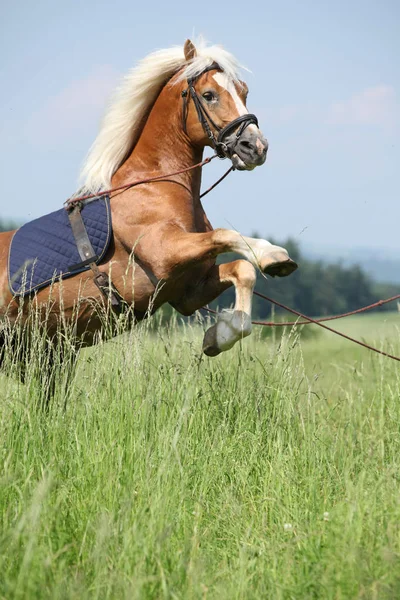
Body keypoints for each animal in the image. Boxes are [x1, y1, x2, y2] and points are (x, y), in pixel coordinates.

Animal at [0, 38, 298, 394]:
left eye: (244, 91)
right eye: (209, 94)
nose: (256, 147)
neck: (155, 184)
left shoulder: (187, 290)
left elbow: (242, 270)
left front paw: (218, 335)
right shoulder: (165, 252)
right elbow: (226, 236)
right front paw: (273, 255)